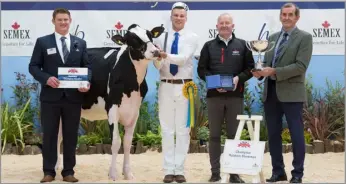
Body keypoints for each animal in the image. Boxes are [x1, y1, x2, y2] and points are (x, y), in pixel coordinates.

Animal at [55, 23, 165, 180]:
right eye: (132, 39)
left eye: (150, 35)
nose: (155, 51)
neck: (132, 84)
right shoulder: (112, 108)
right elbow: (115, 142)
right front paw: (113, 173)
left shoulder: (134, 111)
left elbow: (127, 142)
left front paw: (127, 173)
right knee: (56, 137)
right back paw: (56, 166)